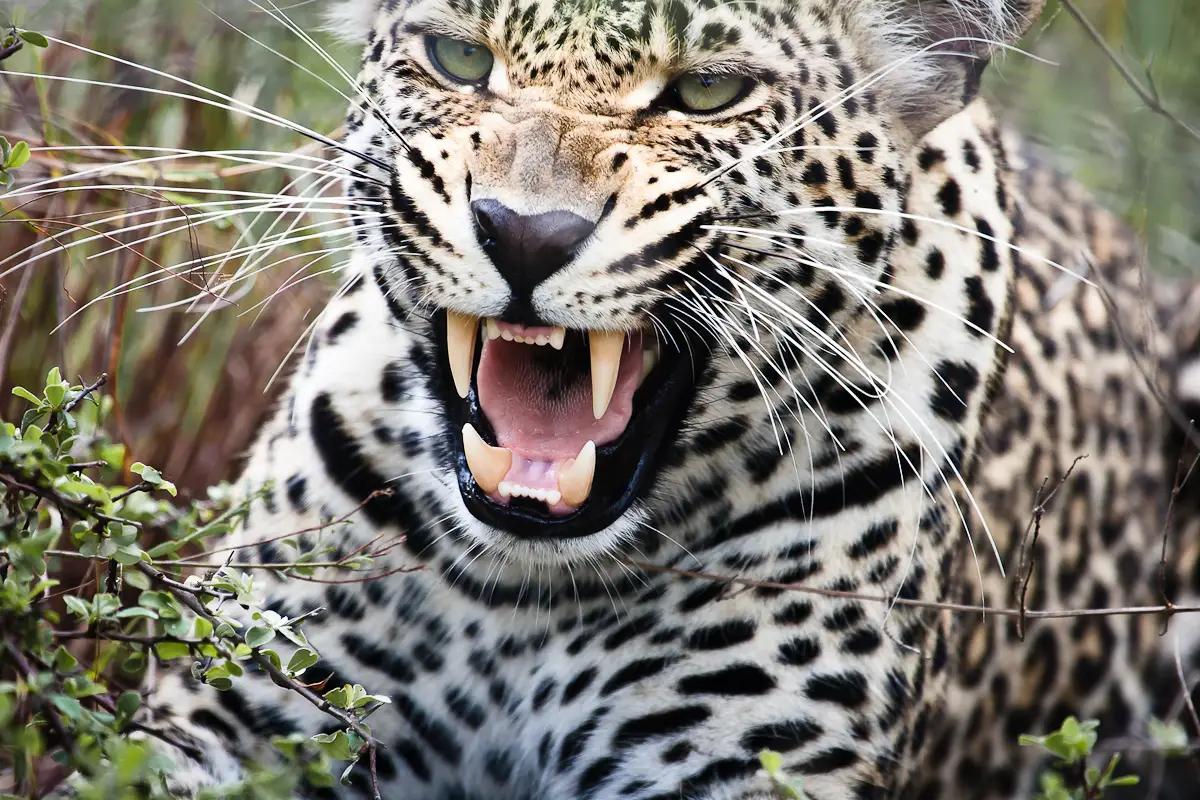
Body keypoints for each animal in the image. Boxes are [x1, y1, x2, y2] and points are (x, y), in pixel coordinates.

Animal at [77, 1, 1200, 798]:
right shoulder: (238, 713)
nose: (524, 232)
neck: (518, 598)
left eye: (706, 89)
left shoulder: (744, 765)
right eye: (459, 61)